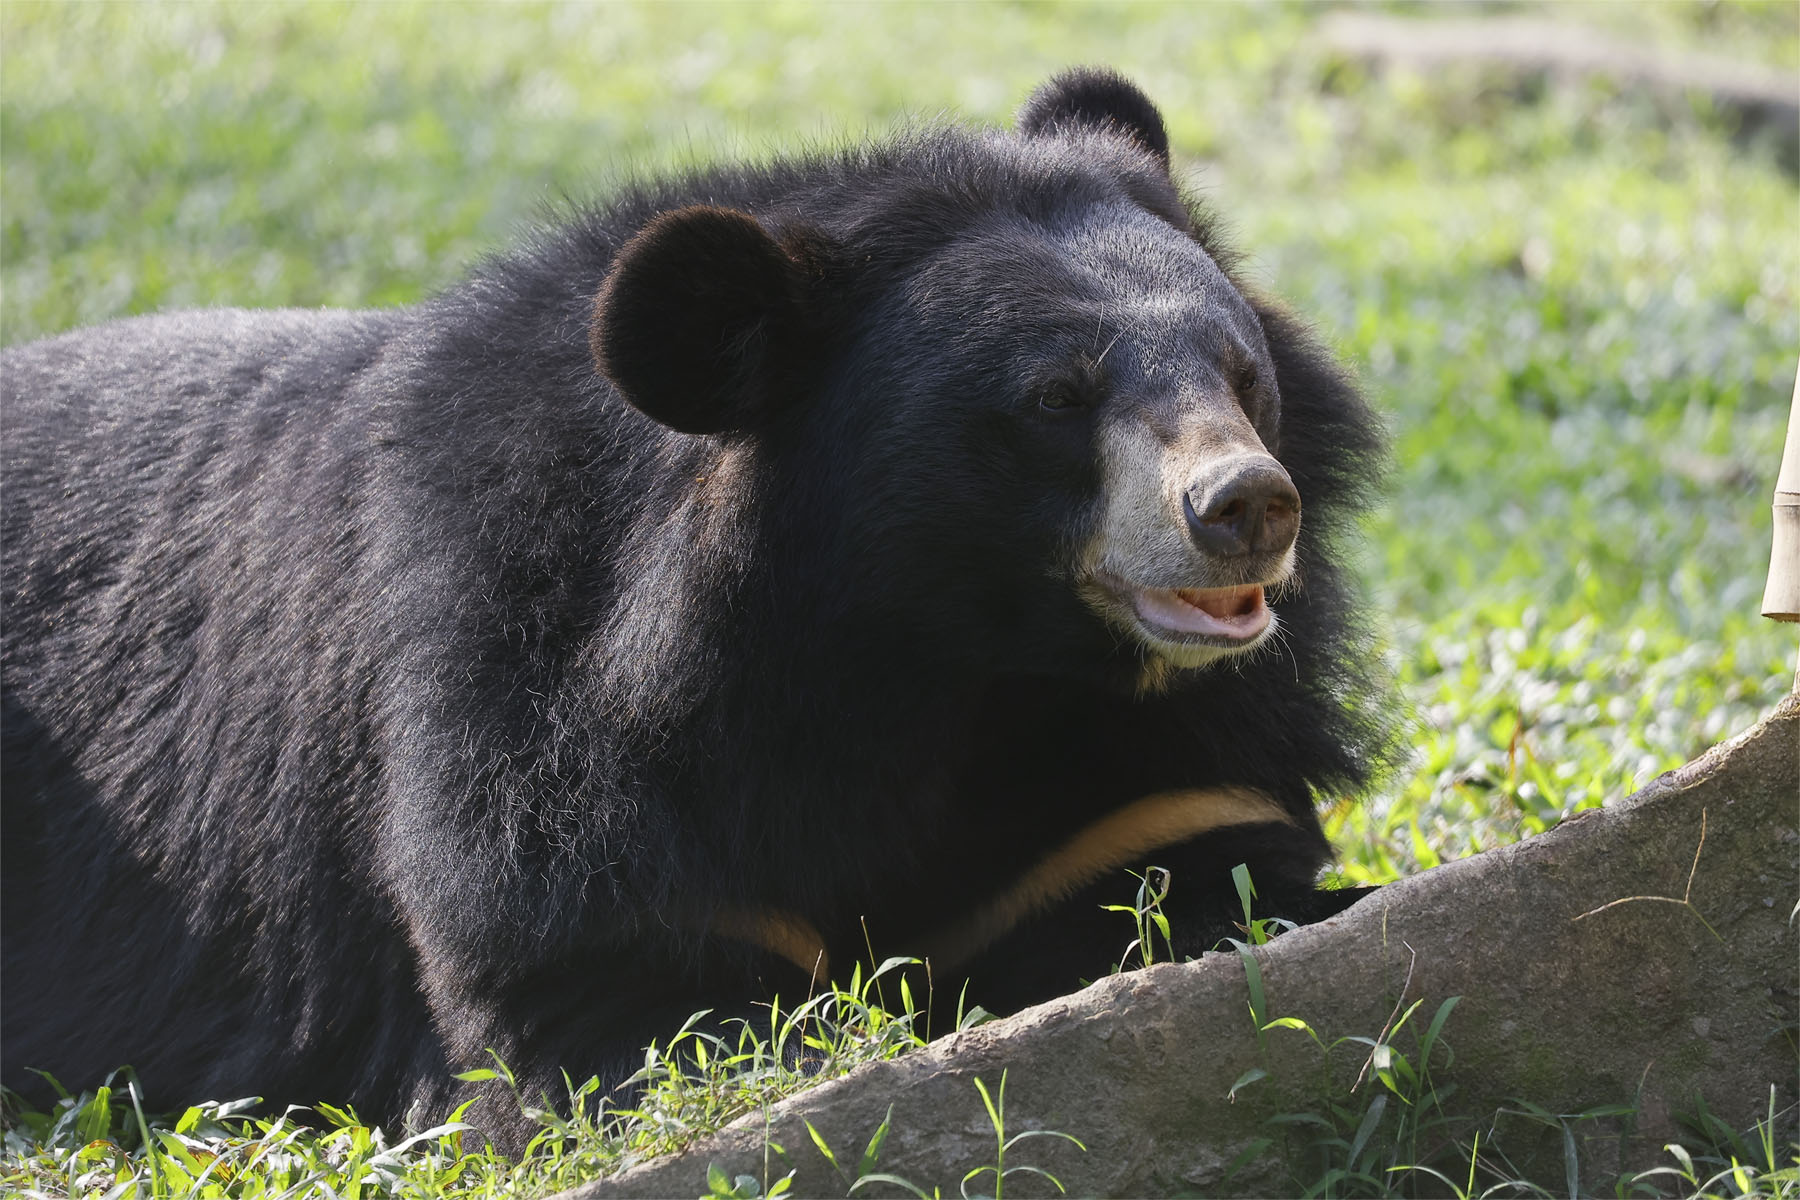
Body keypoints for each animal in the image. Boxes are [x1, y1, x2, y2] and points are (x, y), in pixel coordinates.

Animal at [0, 68, 1388, 1146]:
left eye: (1240, 371)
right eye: (1056, 396)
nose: (1245, 506)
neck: (941, 660)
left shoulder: (1153, 779)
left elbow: (1216, 886)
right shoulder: (541, 753)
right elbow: (614, 1010)